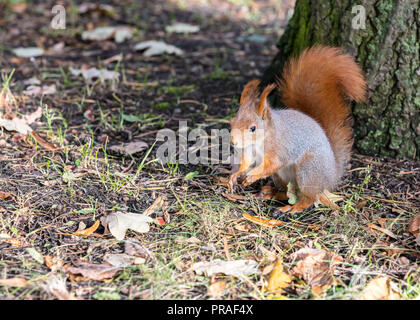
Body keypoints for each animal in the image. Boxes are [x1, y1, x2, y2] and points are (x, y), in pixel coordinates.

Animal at [228, 45, 366, 212]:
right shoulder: (249, 152)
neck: (262, 139)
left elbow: (272, 164)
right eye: (232, 122)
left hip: (308, 170)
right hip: (281, 176)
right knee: (290, 191)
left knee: (310, 197)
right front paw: (235, 176)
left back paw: (293, 208)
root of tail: (331, 176)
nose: (233, 142)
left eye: (253, 128)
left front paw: (253, 175)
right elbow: (247, 163)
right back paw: (271, 193)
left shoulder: (280, 149)